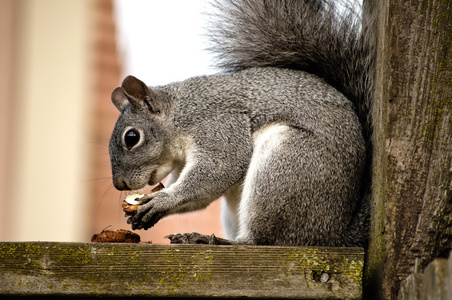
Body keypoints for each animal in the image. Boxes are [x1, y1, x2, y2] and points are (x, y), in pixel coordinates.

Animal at [108, 0, 374, 247]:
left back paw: (210, 240)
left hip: (286, 165)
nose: (119, 184)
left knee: (262, 240)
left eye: (132, 138)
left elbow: (219, 169)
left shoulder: (219, 126)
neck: (179, 115)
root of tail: (334, 234)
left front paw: (162, 200)